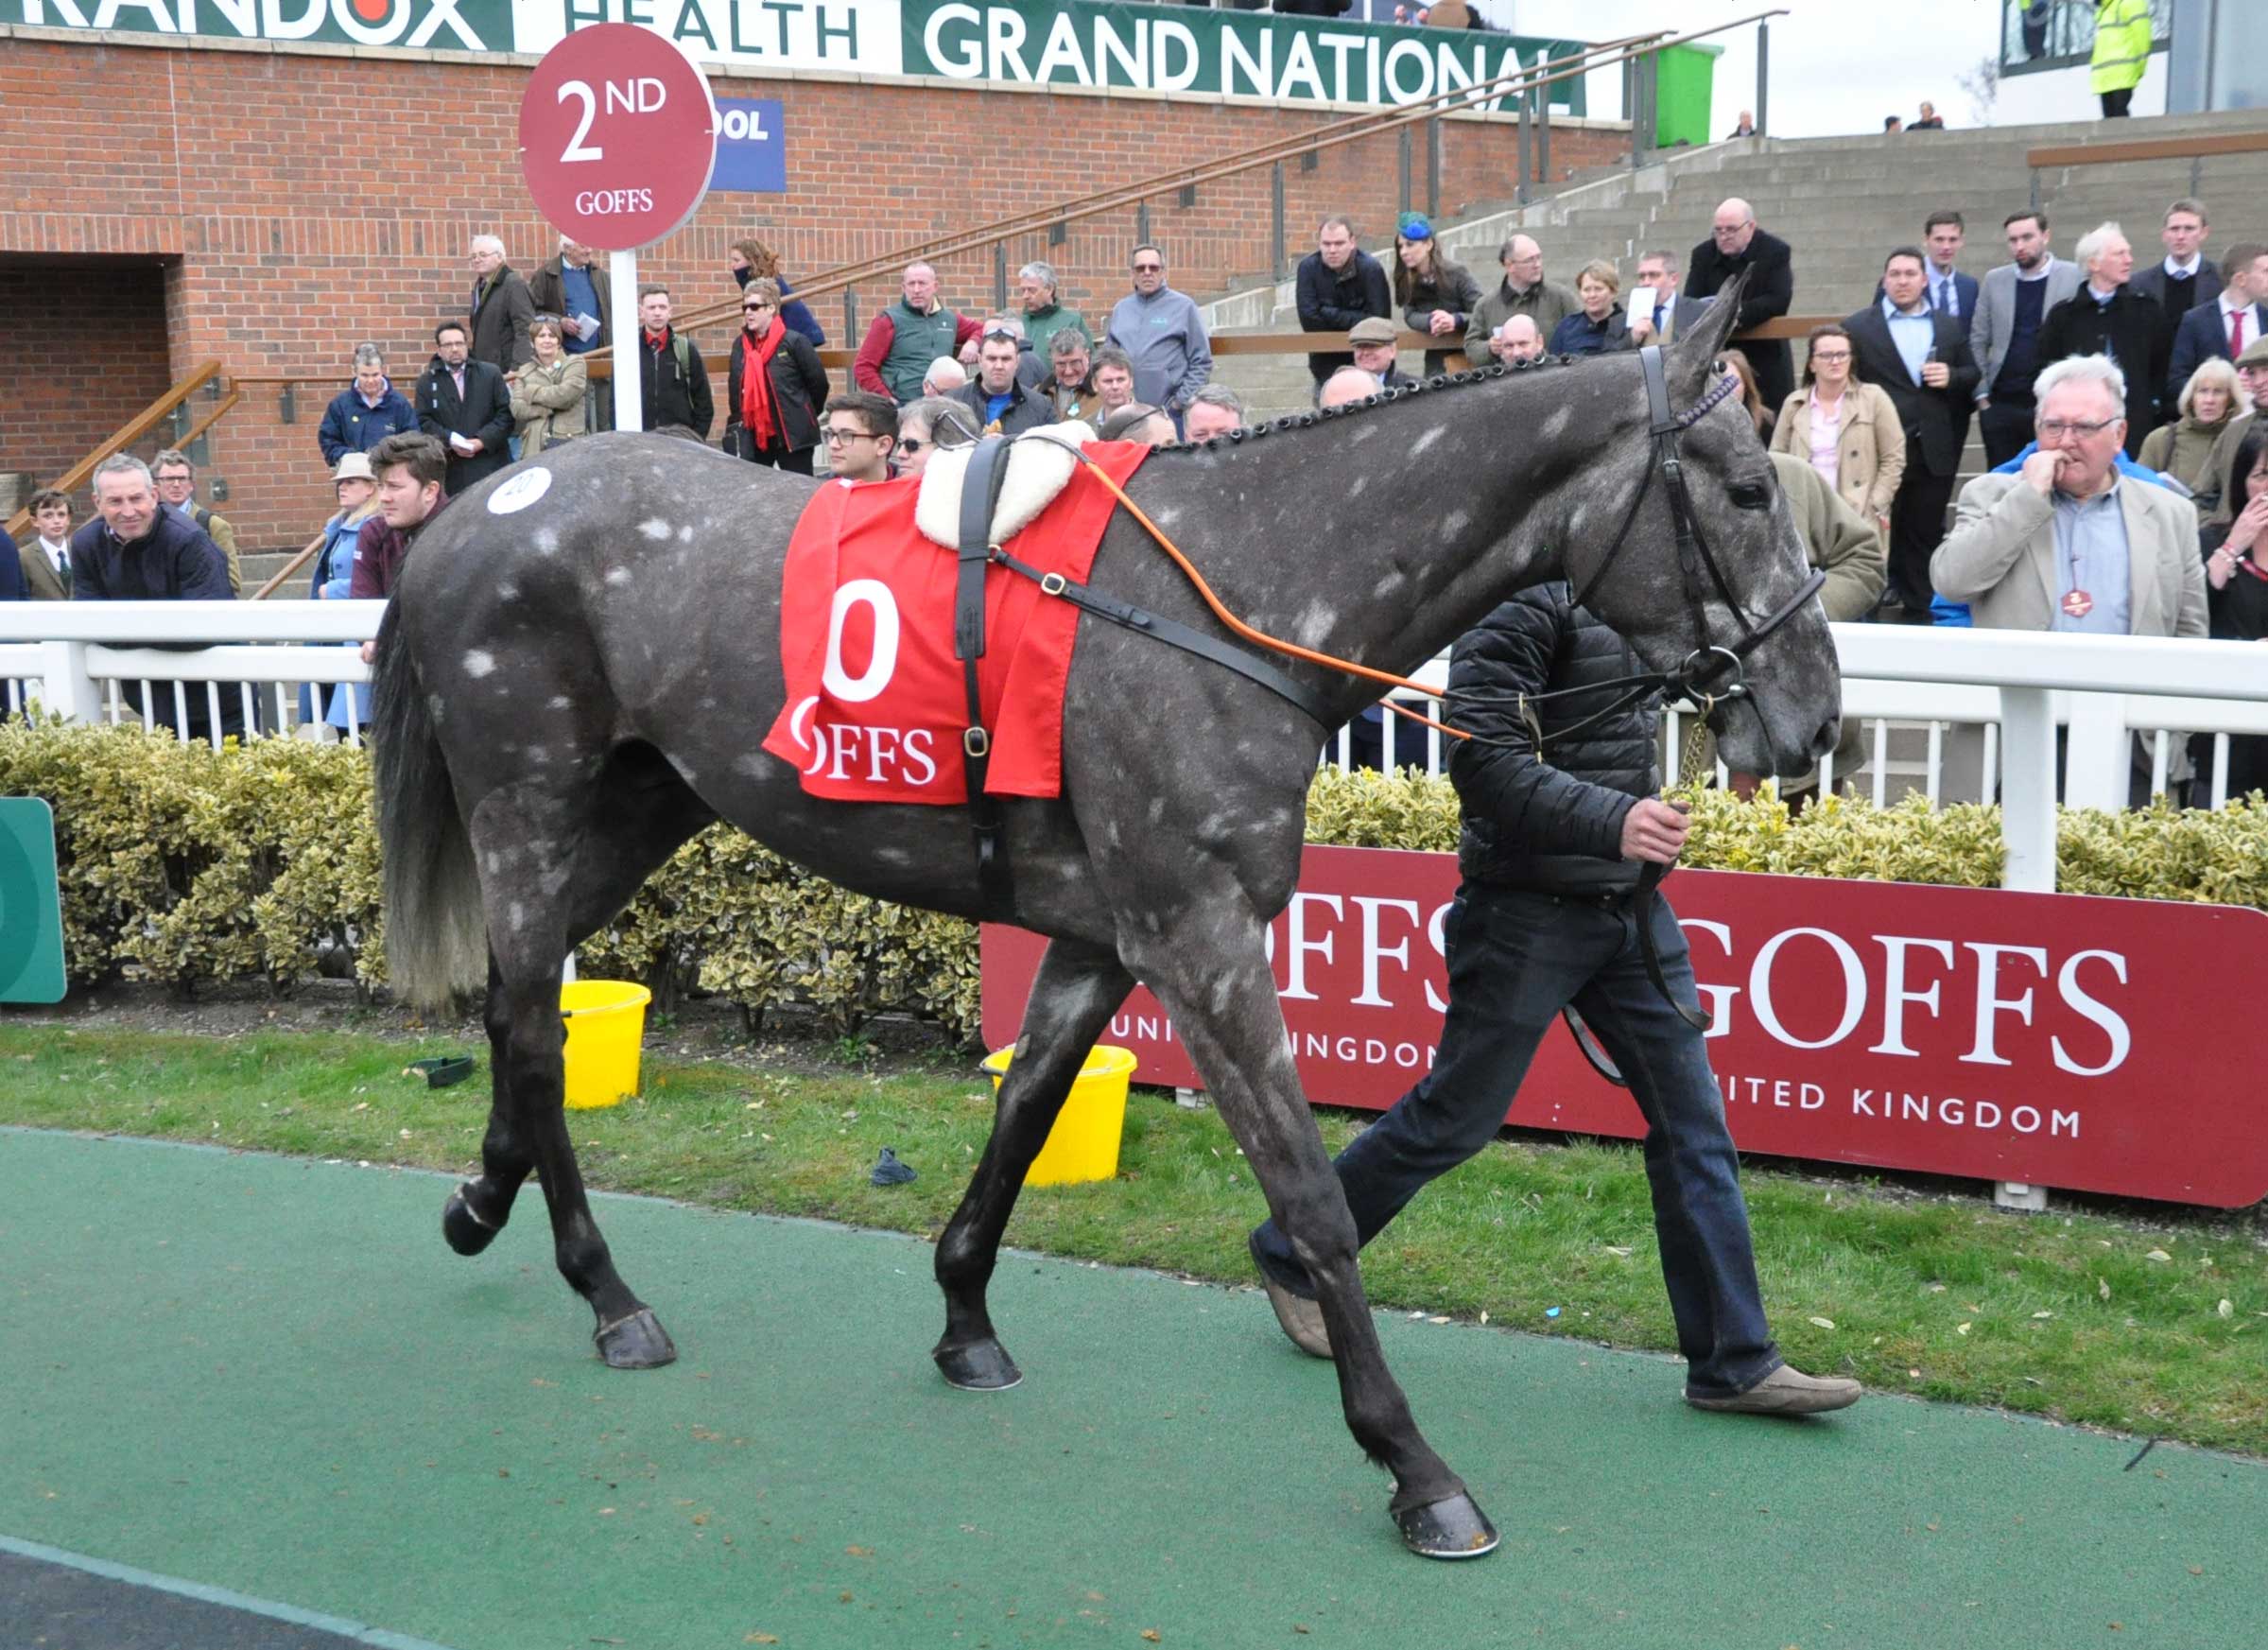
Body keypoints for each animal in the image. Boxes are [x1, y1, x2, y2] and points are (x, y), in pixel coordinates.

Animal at [372, 287, 1841, 1561]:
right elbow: (1311, 1196)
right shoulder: (1200, 937)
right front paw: (1414, 1466)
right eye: (1745, 489)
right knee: (532, 1021)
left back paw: (479, 1201)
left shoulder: (1102, 935)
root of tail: (469, 509)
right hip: (526, 803)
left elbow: (1023, 1118)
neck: (1230, 600)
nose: (1813, 714)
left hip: (644, 802)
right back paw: (608, 1294)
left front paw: (964, 1317)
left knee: (514, 1006)